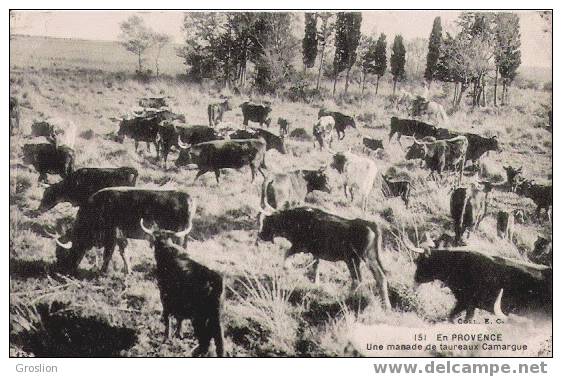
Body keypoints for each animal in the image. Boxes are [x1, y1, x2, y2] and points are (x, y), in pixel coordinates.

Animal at [50, 187, 195, 274]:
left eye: (61, 252)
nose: (60, 270)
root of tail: (187, 196)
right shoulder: (121, 237)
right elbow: (124, 253)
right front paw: (128, 271)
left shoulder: (112, 236)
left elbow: (108, 255)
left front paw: (102, 271)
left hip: (178, 236)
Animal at [139, 220, 223, 356]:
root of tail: (213, 279)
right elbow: (180, 317)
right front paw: (179, 333)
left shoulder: (164, 294)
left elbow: (168, 317)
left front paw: (166, 337)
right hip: (216, 318)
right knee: (218, 343)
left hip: (200, 318)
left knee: (205, 342)